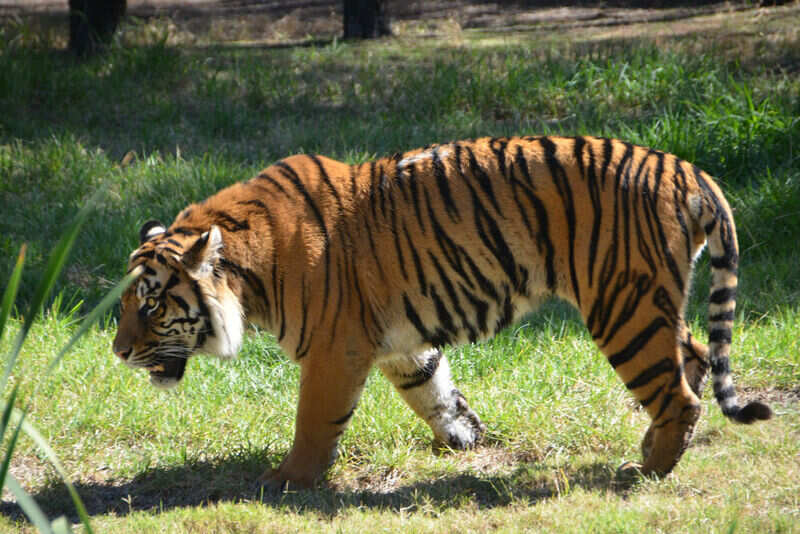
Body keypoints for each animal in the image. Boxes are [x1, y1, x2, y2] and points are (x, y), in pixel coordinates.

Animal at [113, 135, 772, 490]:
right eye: (124, 306)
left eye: (151, 304)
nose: (118, 352)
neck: (250, 272)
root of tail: (687, 169)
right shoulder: (398, 341)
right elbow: (432, 388)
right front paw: (465, 436)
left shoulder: (332, 348)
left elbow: (313, 421)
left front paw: (287, 481)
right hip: (650, 302)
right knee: (692, 357)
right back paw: (653, 444)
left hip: (623, 305)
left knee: (679, 392)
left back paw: (648, 468)